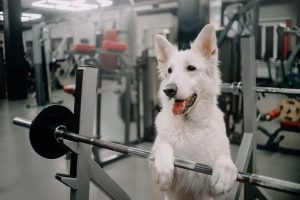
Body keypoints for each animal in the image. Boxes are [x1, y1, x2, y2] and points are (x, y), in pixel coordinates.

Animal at [149, 23, 238, 200]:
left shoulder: (209, 187)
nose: (168, 90)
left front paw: (224, 176)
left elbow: (225, 159)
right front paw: (163, 170)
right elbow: (163, 146)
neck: (188, 125)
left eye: (191, 68)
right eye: (169, 70)